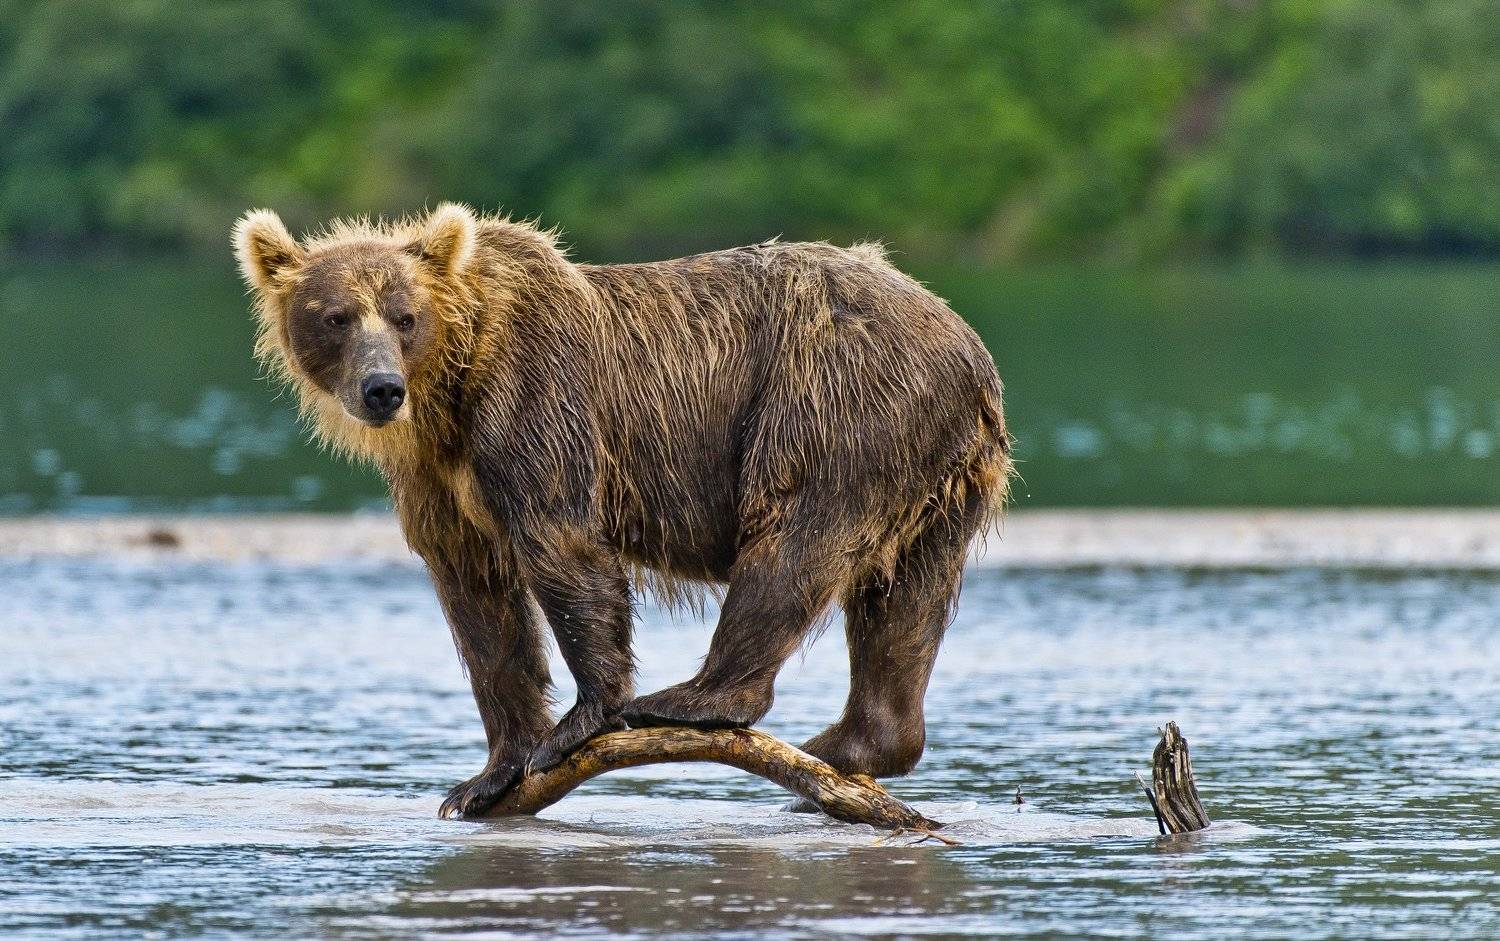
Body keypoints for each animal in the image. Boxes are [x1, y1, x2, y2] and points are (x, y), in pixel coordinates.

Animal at [233, 203, 1010, 819]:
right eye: (335, 317)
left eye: (403, 316)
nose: (381, 388)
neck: (453, 390)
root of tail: (967, 343)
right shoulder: (436, 479)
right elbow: (478, 602)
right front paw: (487, 775)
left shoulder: (536, 403)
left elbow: (561, 543)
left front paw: (579, 721)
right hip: (938, 473)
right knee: (903, 598)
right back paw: (850, 747)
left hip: (834, 400)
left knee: (795, 539)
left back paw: (695, 698)